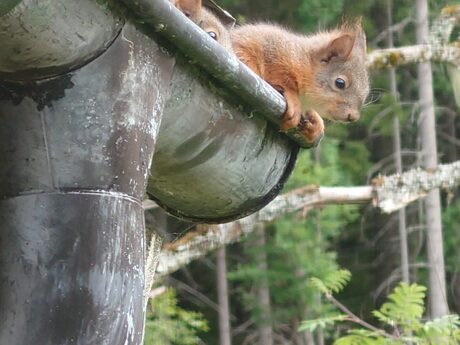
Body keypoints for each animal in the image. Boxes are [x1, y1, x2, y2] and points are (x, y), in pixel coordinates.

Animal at [230, 22, 370, 144]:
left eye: (367, 90)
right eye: (340, 83)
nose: (353, 117)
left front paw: (317, 124)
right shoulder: (276, 53)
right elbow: (281, 77)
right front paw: (294, 100)